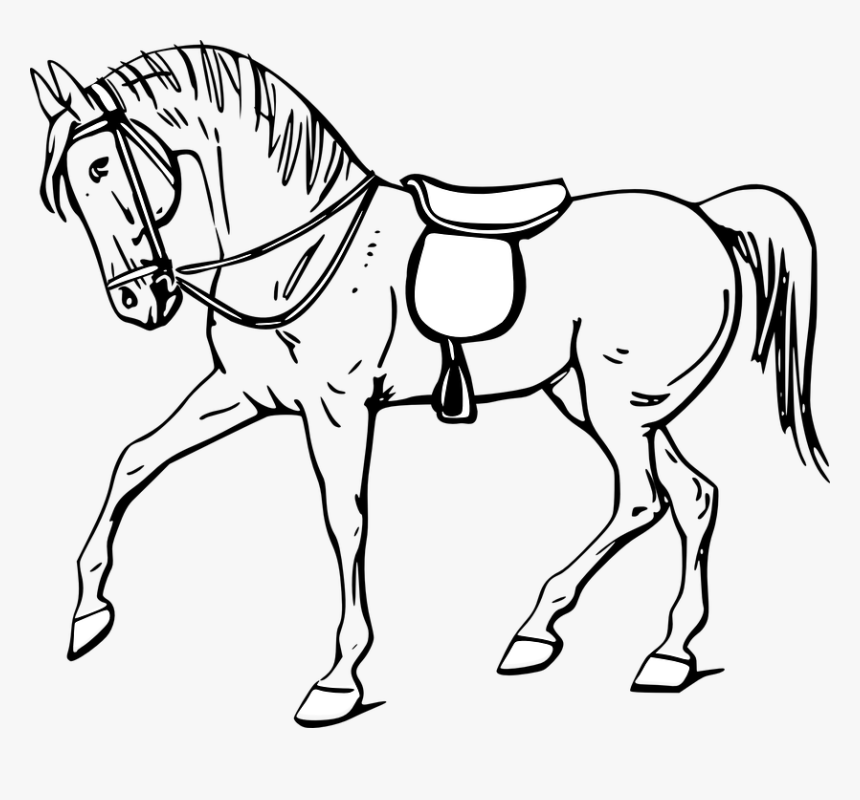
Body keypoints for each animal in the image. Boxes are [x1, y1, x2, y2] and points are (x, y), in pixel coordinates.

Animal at [31, 44, 827, 727]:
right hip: (605, 402)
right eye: (67, 189)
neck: (300, 250)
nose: (137, 301)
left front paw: (338, 680)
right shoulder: (244, 393)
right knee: (693, 497)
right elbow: (134, 459)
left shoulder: (338, 410)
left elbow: (346, 521)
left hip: (617, 403)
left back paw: (541, 629)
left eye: (102, 168)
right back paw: (666, 653)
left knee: (641, 498)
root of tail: (708, 219)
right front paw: (87, 614)